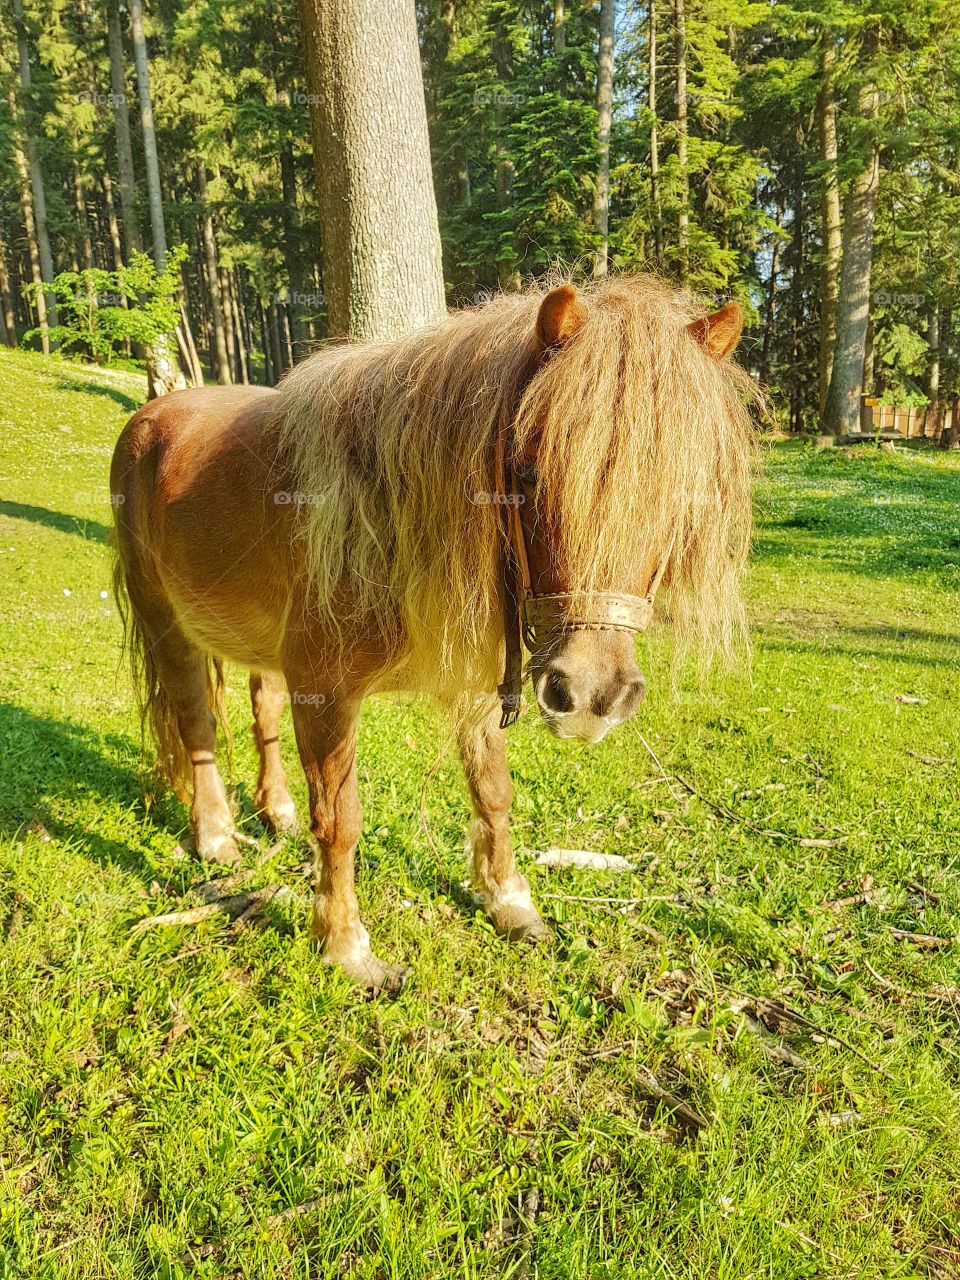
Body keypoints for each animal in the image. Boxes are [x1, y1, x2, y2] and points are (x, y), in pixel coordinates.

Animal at [111, 277, 757, 990]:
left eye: (683, 493)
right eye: (530, 473)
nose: (592, 696)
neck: (386, 511)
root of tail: (153, 415)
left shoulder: (474, 687)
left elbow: (494, 793)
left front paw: (508, 901)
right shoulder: (326, 693)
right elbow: (340, 821)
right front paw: (345, 946)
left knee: (262, 709)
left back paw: (275, 810)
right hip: (167, 625)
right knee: (196, 723)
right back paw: (217, 837)